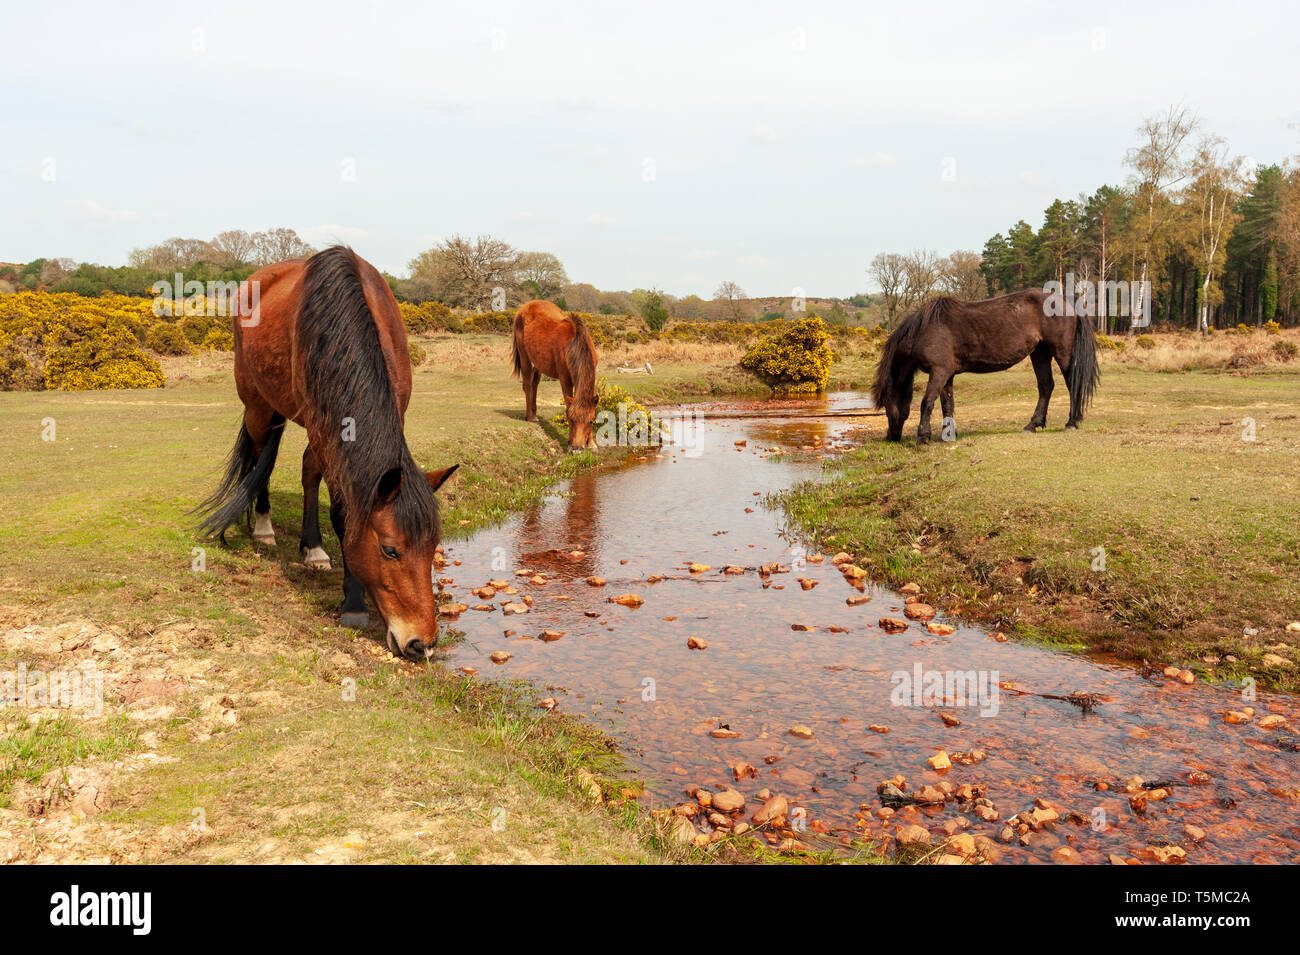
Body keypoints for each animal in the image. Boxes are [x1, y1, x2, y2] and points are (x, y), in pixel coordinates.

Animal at [192, 246, 457, 660]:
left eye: (433, 548)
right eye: (390, 550)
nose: (422, 644)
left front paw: (316, 551)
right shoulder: (324, 429)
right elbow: (343, 514)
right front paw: (354, 603)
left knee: (305, 470)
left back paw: (312, 548)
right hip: (258, 406)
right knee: (260, 459)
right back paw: (264, 527)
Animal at [512, 300, 603, 449]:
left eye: (591, 421)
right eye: (570, 420)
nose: (577, 448)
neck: (574, 345)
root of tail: (527, 306)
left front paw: (591, 443)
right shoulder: (565, 380)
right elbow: (567, 405)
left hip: (538, 363)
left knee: (534, 383)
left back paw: (534, 414)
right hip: (525, 357)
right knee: (527, 385)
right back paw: (530, 417)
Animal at [873, 287, 1097, 444]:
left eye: (886, 405)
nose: (891, 437)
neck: (925, 330)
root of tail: (1067, 299)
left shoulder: (938, 373)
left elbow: (927, 402)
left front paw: (923, 437)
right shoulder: (947, 375)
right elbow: (948, 404)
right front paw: (946, 435)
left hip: (1061, 352)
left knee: (1071, 383)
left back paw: (1072, 422)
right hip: (1040, 353)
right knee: (1046, 386)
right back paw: (1033, 424)